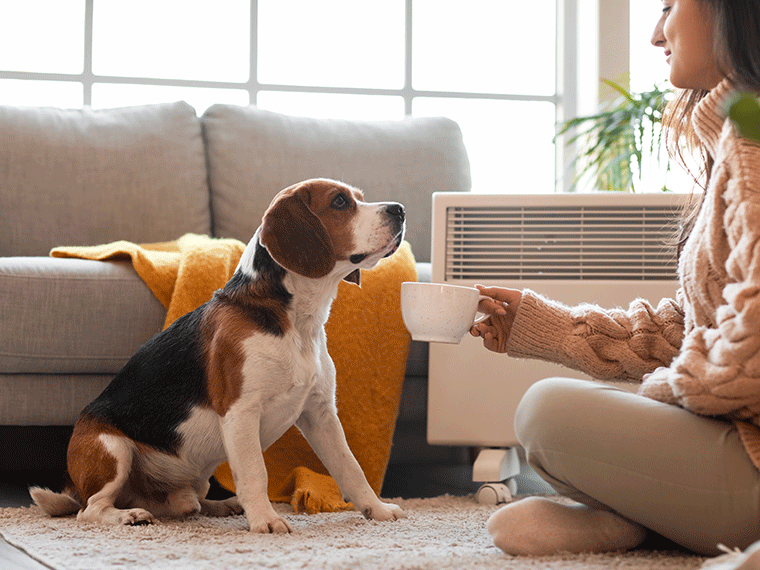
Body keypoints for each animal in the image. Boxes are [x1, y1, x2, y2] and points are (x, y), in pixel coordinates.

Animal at [31, 179, 406, 532]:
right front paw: (266, 520)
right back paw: (129, 515)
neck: (299, 322)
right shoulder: (241, 410)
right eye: (340, 202)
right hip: (112, 449)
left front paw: (378, 510)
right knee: (90, 510)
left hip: (193, 480)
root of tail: (73, 486)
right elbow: (255, 473)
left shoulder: (321, 413)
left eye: (359, 197)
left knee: (188, 505)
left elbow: (351, 469)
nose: (400, 209)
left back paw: (220, 506)